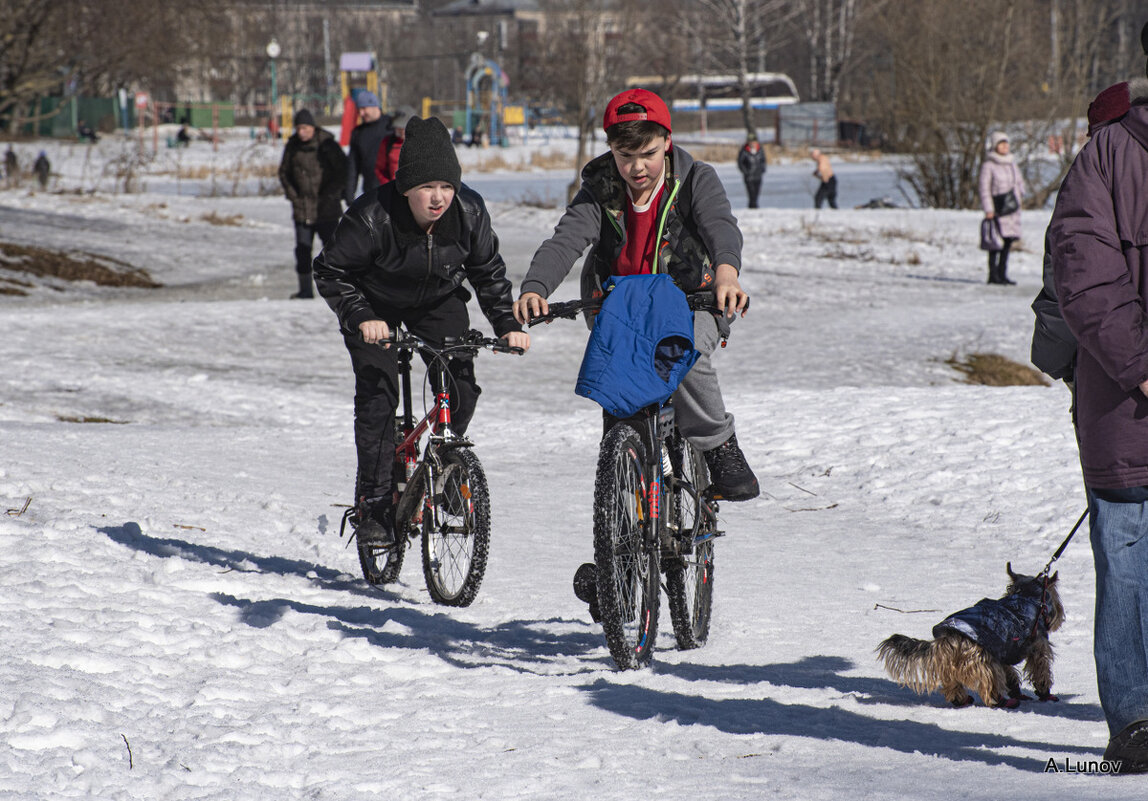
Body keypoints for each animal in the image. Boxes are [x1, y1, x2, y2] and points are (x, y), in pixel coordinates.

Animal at [877, 562, 1065, 706]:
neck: (1027, 596)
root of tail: (950, 637)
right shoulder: (1038, 645)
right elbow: (1041, 669)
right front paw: (1045, 693)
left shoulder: (1002, 649)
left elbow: (1010, 674)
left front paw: (1017, 690)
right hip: (982, 660)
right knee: (991, 683)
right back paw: (1002, 702)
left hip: (952, 663)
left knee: (952, 683)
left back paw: (961, 699)